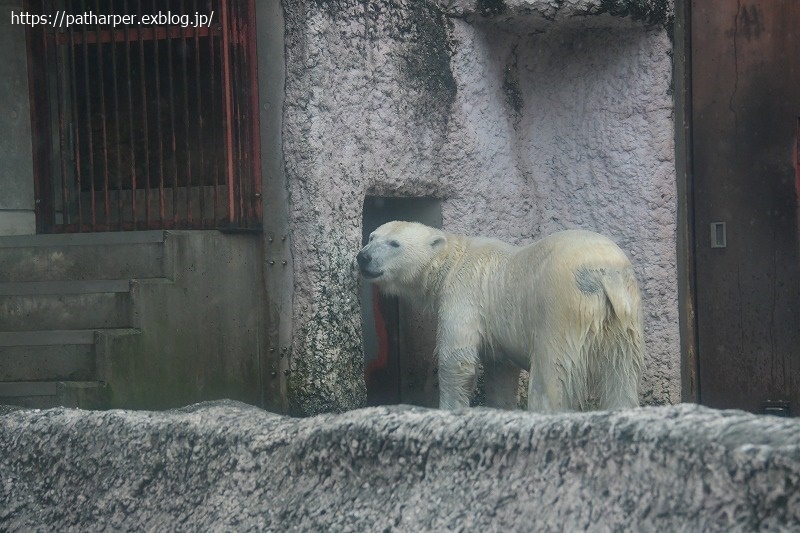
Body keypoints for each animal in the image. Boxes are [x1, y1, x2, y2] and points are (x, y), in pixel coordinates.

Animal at [356, 220, 644, 412]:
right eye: (371, 236)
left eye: (394, 243)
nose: (363, 257)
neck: (453, 259)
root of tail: (604, 273)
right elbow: (500, 371)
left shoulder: (464, 294)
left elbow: (457, 357)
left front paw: (450, 409)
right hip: (625, 313)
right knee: (622, 372)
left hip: (561, 308)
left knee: (551, 374)